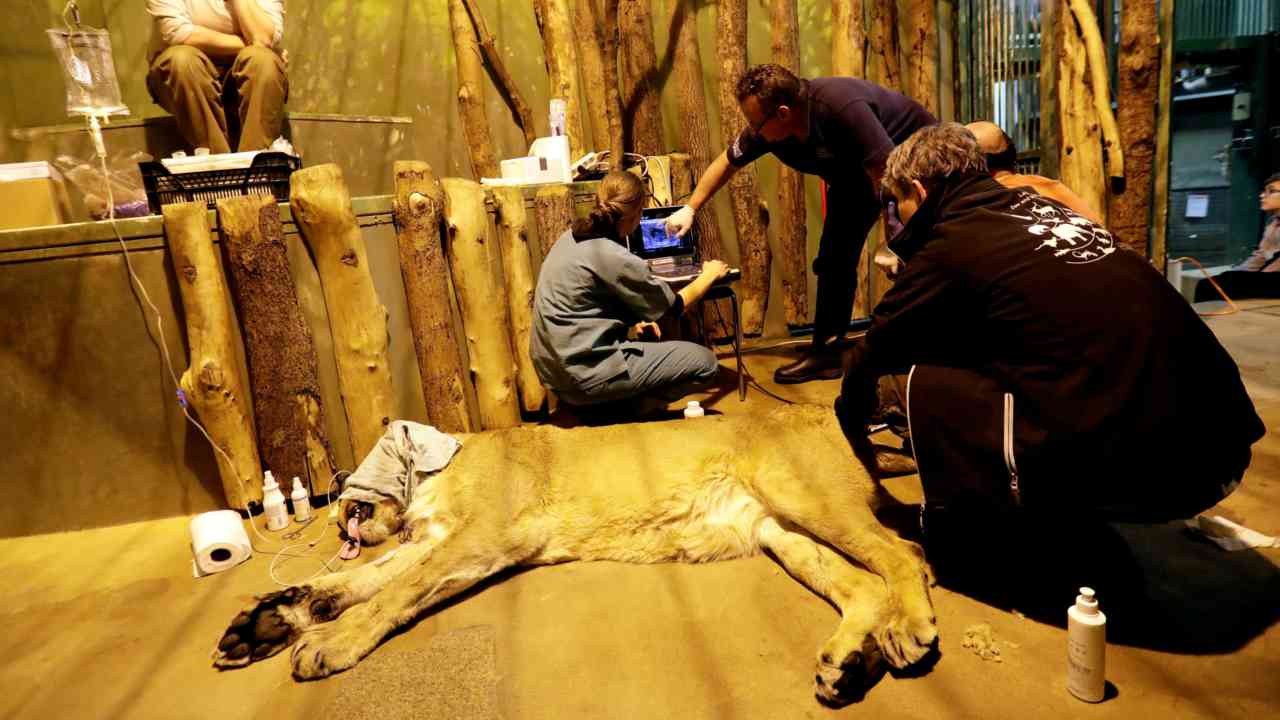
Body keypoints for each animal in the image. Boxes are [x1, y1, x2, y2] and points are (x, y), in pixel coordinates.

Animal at [212, 404, 937, 705]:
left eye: (363, 474)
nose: (340, 509)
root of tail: (832, 413)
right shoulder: (439, 541)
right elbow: (363, 580)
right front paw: (273, 620)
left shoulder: (480, 539)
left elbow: (390, 592)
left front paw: (327, 643)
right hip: (781, 531)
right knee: (866, 583)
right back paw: (849, 664)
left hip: (801, 494)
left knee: (904, 553)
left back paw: (909, 631)